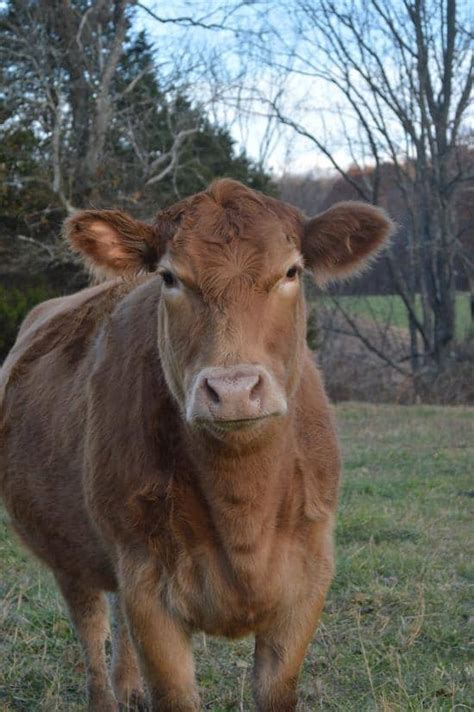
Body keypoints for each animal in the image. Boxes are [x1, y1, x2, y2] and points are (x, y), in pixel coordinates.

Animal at [0, 181, 392, 708]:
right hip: (69, 554)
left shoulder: (308, 579)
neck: (243, 515)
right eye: (169, 277)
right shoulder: (147, 584)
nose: (232, 389)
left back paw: (130, 691)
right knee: (92, 631)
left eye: (291, 270)